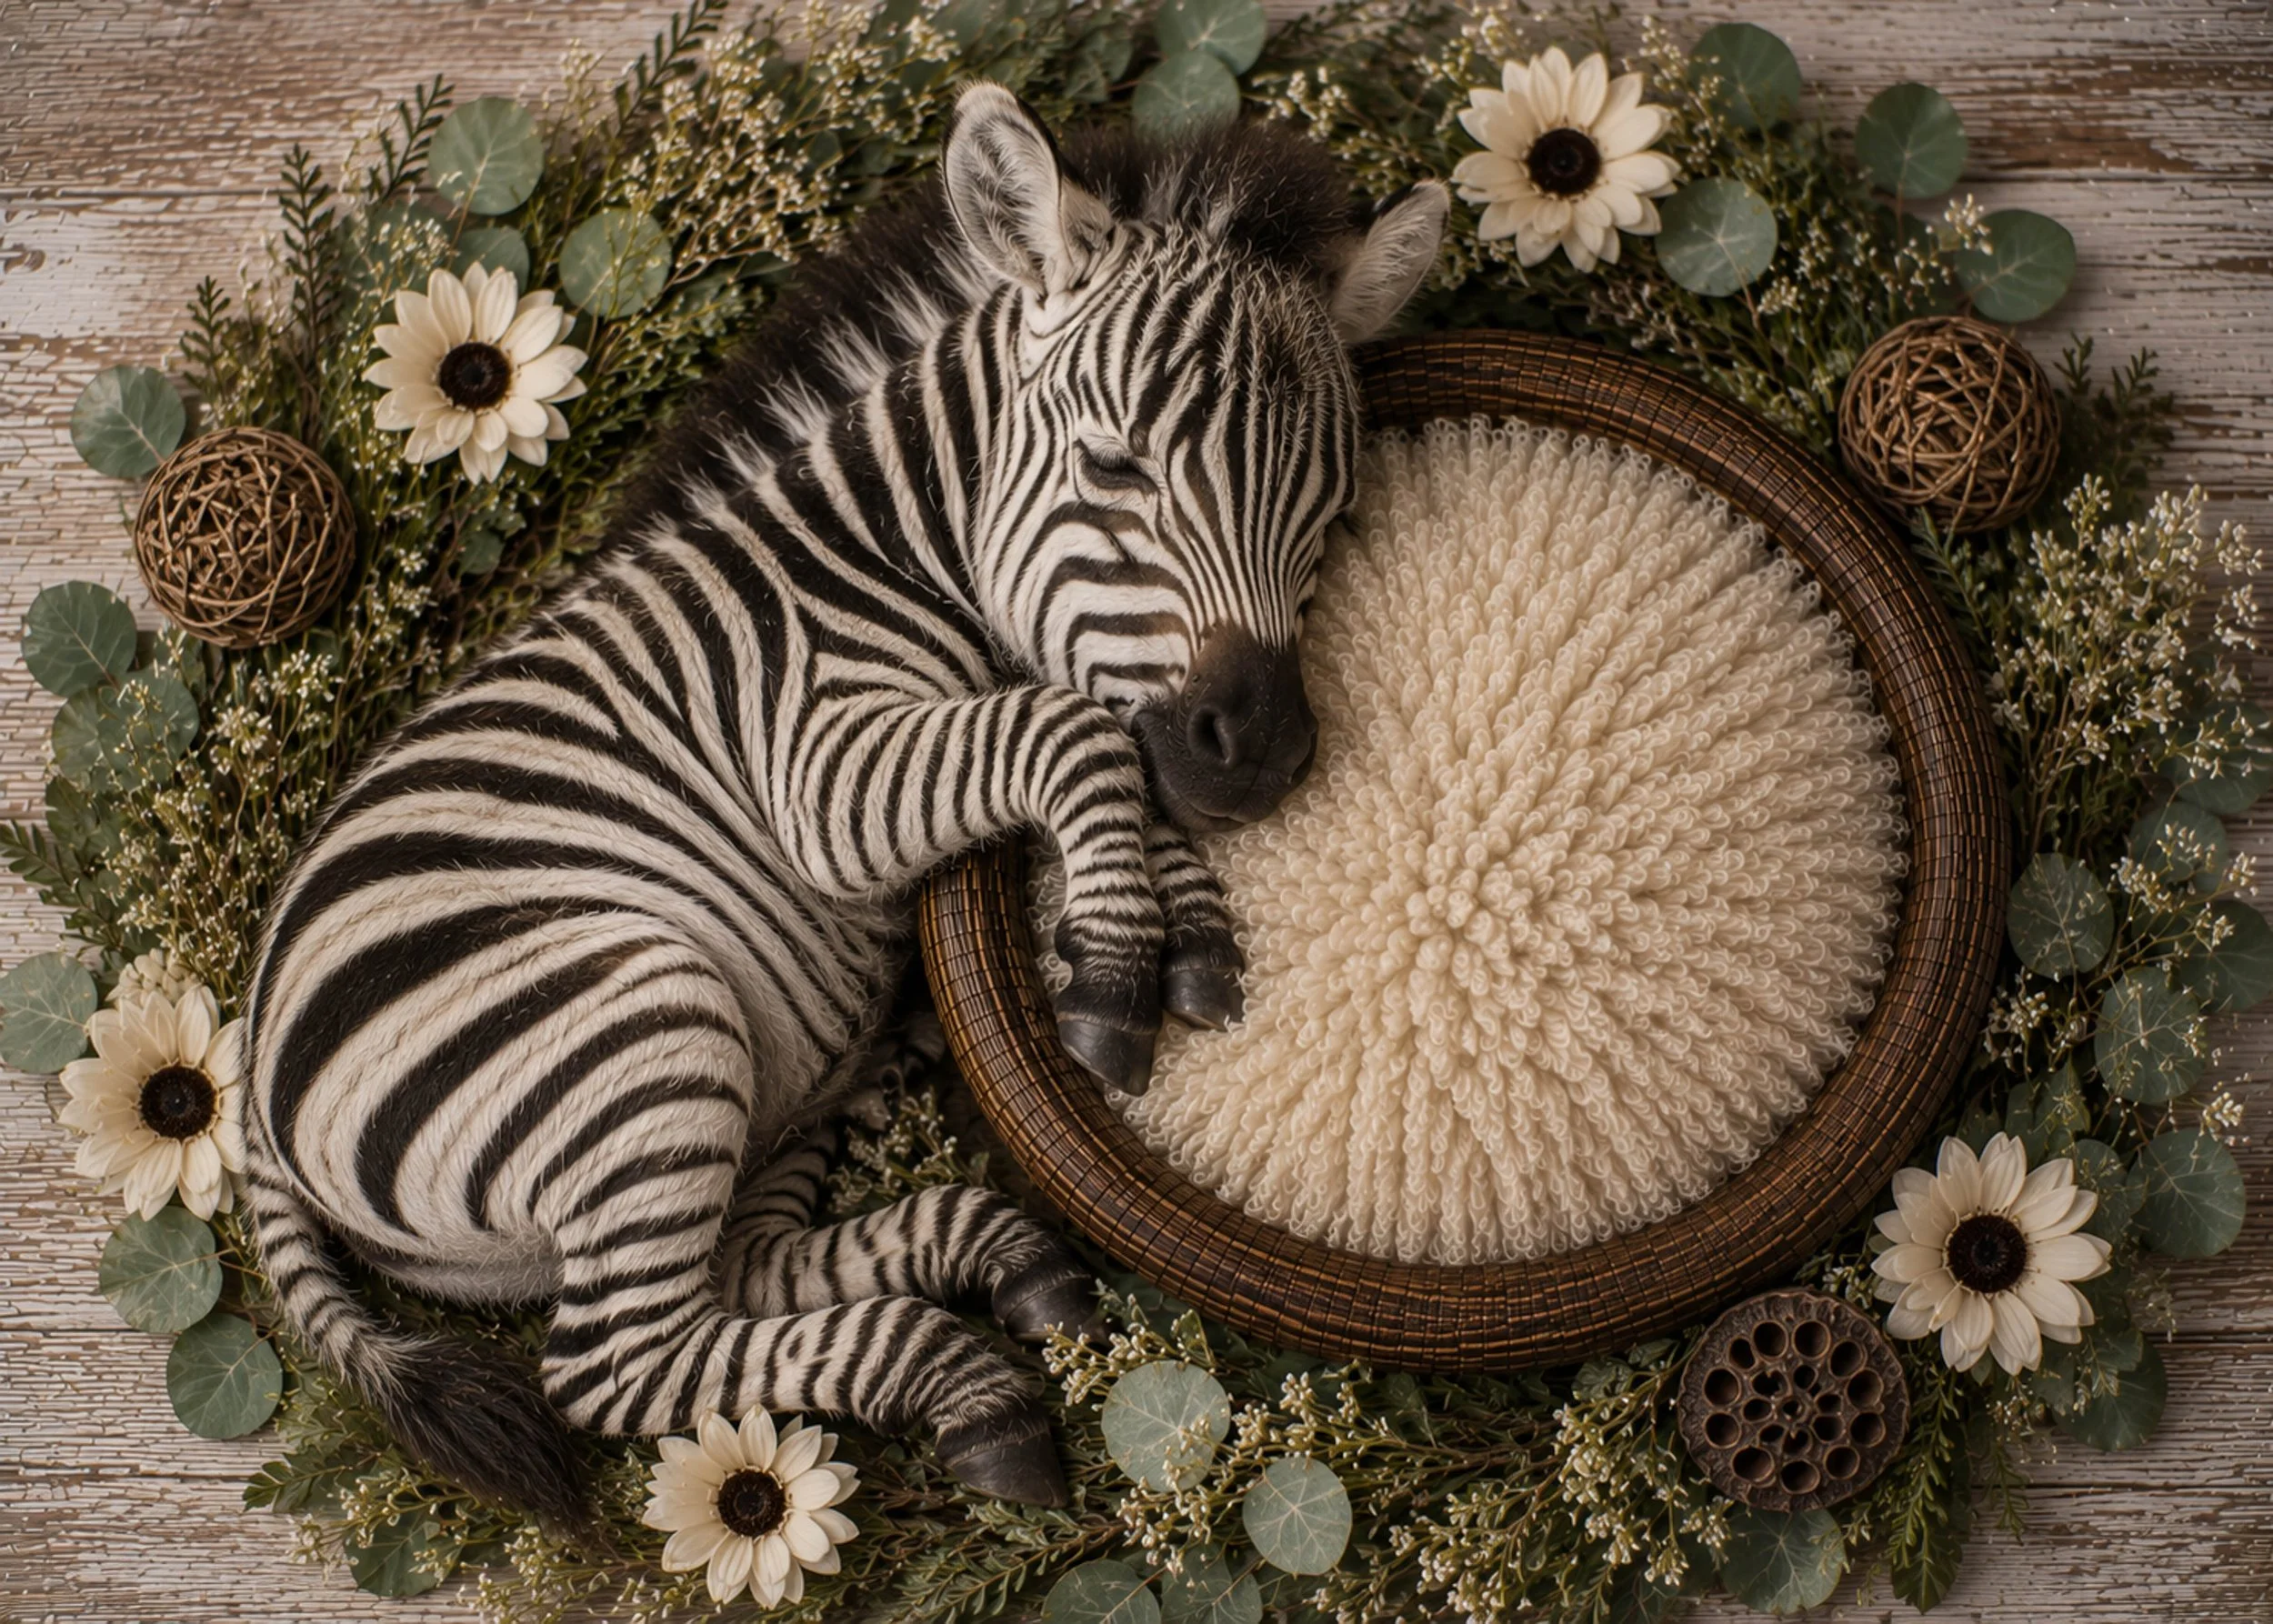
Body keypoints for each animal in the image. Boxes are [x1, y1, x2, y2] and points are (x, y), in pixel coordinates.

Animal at [241, 83, 1447, 1531]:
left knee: (733, 1280)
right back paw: (964, 1381)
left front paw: (1180, 922)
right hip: (634, 1024)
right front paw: (1114, 962)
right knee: (617, 1364)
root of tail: (251, 1097)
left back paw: (985, 1271)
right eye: (1111, 467)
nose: (1259, 754)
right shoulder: (817, 761)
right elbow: (1071, 728)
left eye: (1333, 512)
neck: (888, 551)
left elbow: (1095, 734)